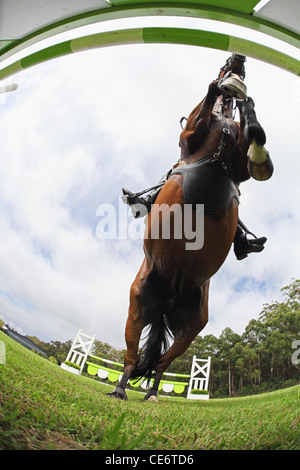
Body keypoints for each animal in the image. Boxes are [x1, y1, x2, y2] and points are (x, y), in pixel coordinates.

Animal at [108, 54, 274, 400]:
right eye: (225, 63)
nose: (238, 58)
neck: (222, 129)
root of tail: (169, 297)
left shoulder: (239, 168)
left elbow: (254, 136)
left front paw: (248, 114)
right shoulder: (191, 137)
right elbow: (206, 101)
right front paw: (222, 87)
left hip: (193, 327)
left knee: (161, 363)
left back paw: (153, 393)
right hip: (138, 306)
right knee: (131, 357)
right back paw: (119, 389)